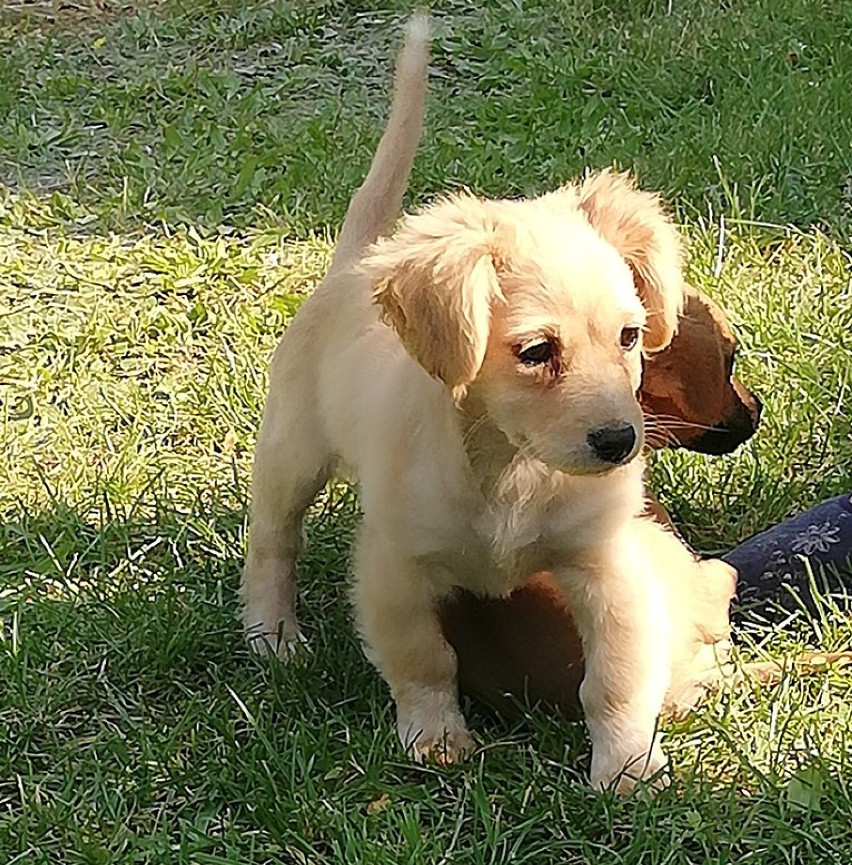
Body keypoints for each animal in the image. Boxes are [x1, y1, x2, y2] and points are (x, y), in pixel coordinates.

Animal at [240, 16, 684, 792]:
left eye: (630, 336)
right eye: (537, 351)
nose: (619, 442)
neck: (510, 466)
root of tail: (357, 258)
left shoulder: (605, 562)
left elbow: (615, 676)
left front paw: (628, 766)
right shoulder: (395, 564)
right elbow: (424, 659)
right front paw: (435, 737)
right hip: (292, 450)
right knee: (273, 541)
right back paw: (273, 632)